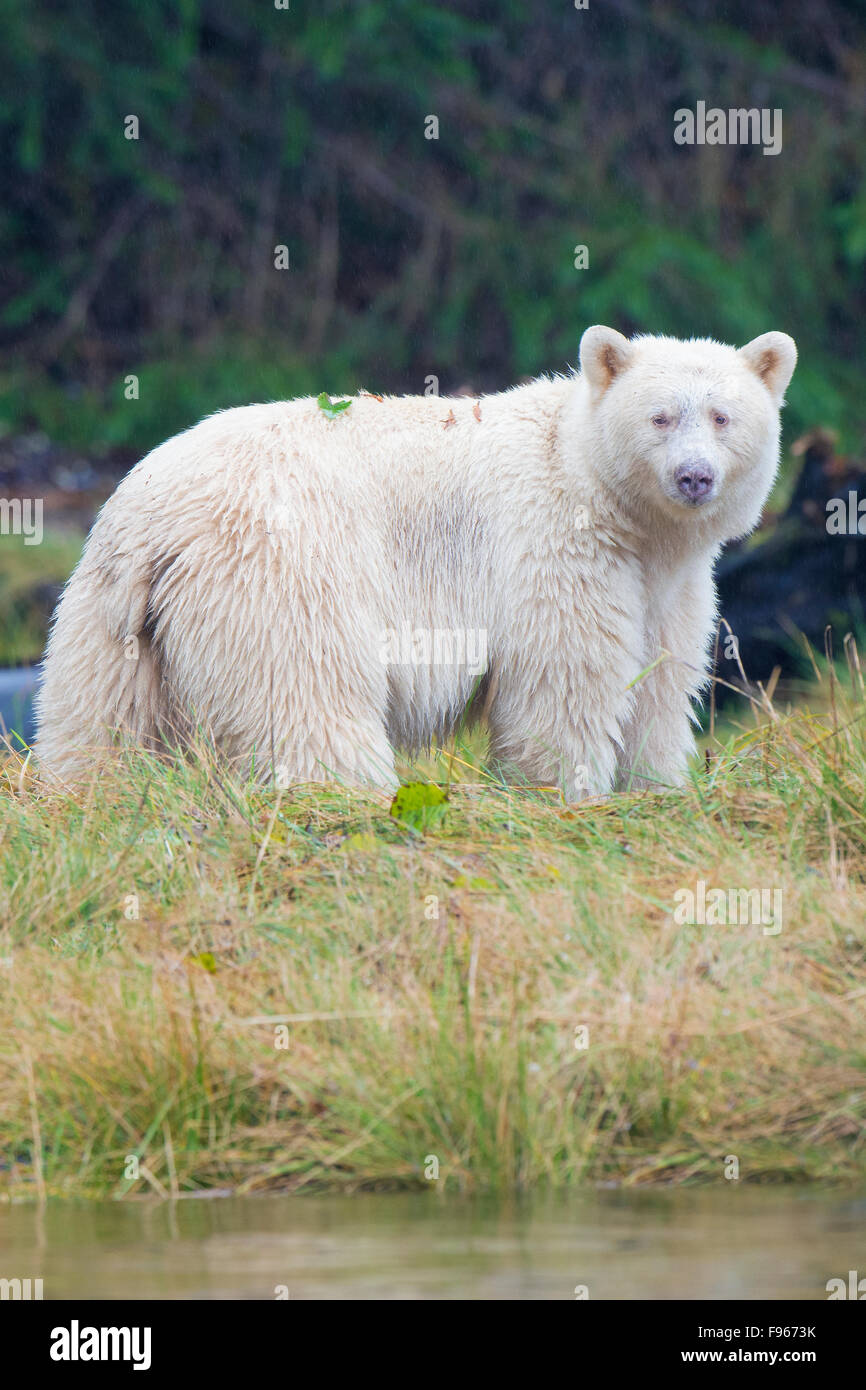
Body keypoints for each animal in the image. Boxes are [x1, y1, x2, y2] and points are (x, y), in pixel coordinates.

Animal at [33, 325, 795, 800]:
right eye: (660, 417)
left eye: (723, 417)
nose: (694, 478)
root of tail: (151, 519)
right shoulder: (556, 547)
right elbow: (565, 679)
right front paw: (567, 790)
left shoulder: (667, 579)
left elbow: (660, 678)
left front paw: (657, 785)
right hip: (280, 569)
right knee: (306, 691)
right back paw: (345, 796)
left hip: (108, 610)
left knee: (95, 717)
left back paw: (81, 797)